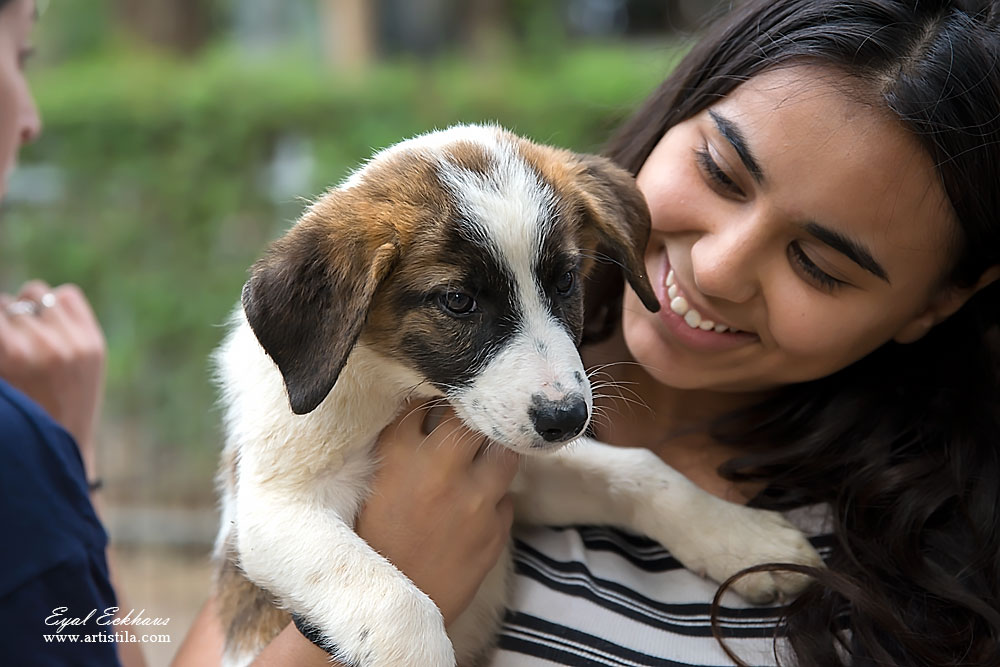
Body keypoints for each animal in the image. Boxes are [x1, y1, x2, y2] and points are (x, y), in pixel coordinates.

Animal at [213, 125, 820, 667]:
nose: (567, 419)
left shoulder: (520, 471)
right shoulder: (272, 507)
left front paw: (744, 540)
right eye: (458, 301)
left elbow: (642, 472)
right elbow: (394, 601)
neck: (397, 387)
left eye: (566, 280)